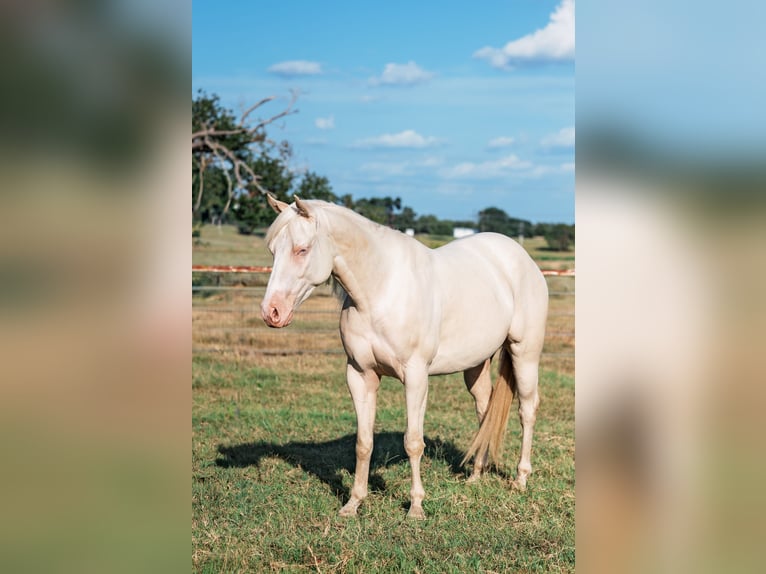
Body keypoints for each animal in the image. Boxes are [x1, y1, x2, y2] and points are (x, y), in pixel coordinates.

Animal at [260, 195, 548, 519]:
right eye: (273, 251)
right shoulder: (359, 375)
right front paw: (353, 503)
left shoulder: (415, 376)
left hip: (524, 353)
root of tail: (522, 258)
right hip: (476, 365)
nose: (272, 313)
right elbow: (363, 443)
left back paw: (520, 479)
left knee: (527, 410)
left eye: (302, 249)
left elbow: (413, 442)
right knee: (484, 410)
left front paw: (416, 507)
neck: (380, 291)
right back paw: (476, 475)